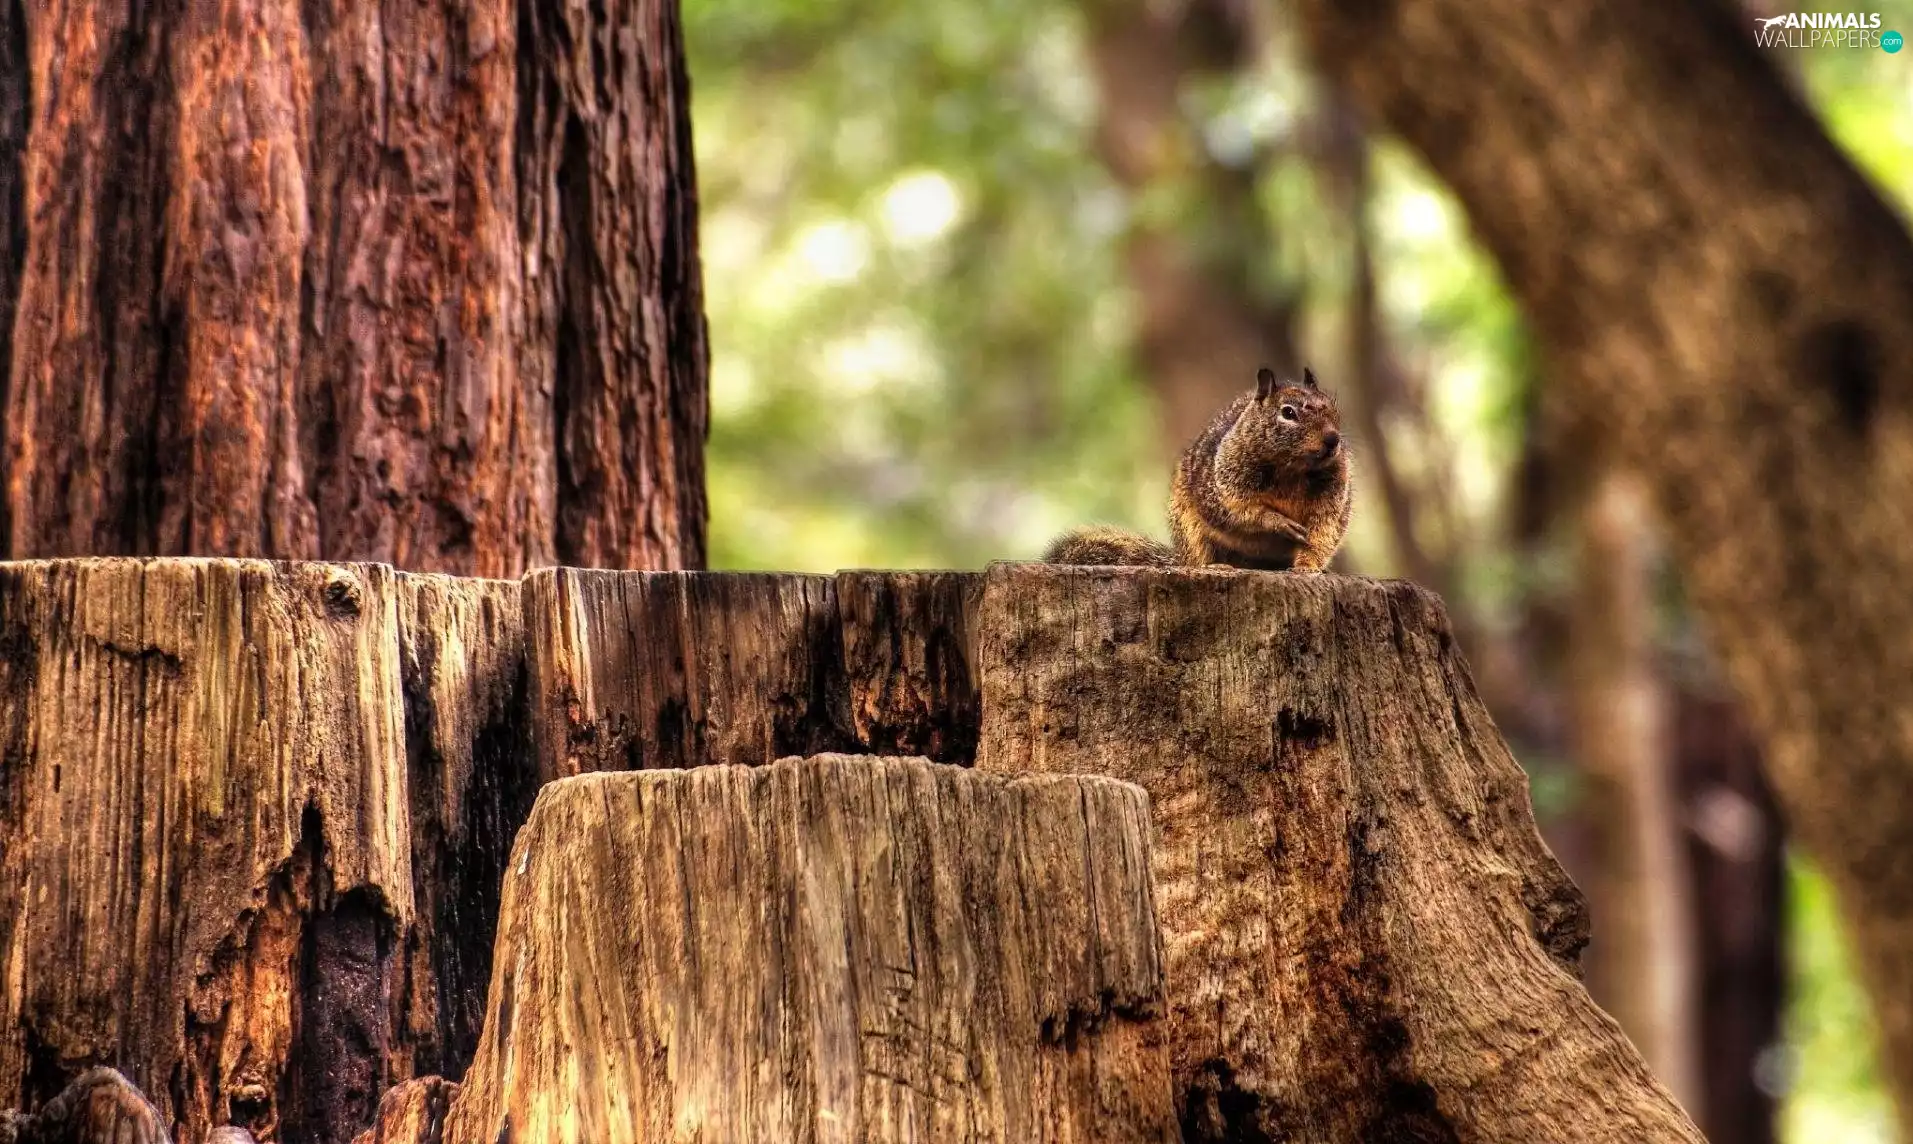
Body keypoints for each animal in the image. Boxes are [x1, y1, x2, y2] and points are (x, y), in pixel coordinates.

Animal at [1044, 365, 1353, 572]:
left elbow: (1321, 534)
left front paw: (1308, 567)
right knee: (1199, 557)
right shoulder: (1223, 484)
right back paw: (1215, 567)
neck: (1293, 469)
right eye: (1288, 412)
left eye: (1334, 409)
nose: (1332, 440)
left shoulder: (1332, 500)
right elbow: (1239, 511)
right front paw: (1277, 522)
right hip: (1189, 528)